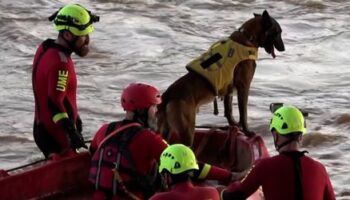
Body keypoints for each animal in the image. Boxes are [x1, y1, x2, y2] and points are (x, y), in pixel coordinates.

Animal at [157, 10, 286, 145]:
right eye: (278, 32)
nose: (283, 48)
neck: (247, 37)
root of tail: (168, 95)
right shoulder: (243, 87)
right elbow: (243, 113)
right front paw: (247, 131)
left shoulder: (228, 89)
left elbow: (228, 110)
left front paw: (234, 126)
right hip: (187, 132)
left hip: (166, 132)